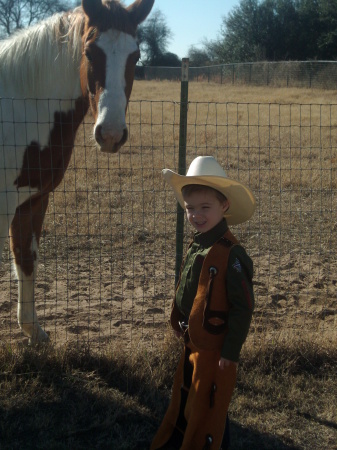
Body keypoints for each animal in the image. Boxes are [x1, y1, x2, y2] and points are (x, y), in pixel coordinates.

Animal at [0, 0, 155, 342]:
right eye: (89, 52)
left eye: (135, 56)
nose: (110, 133)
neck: (20, 108)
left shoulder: (32, 199)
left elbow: (26, 259)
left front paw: (32, 329)